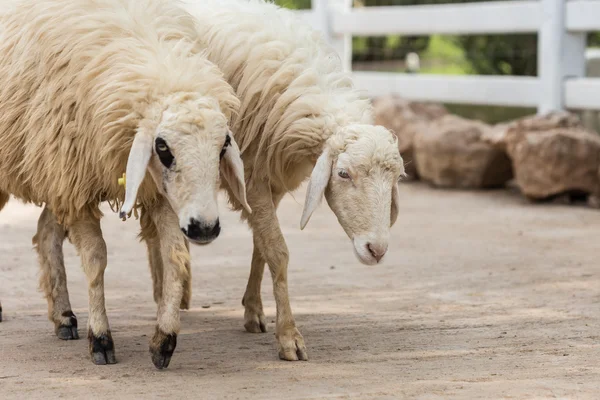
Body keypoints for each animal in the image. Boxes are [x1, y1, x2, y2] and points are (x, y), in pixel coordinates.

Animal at [0, 0, 250, 368]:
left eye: (222, 148)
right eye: (162, 147)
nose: (204, 228)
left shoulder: (152, 191)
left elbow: (174, 255)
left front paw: (164, 339)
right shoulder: (76, 184)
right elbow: (95, 259)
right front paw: (101, 339)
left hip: (54, 175)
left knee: (45, 231)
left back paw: (63, 317)